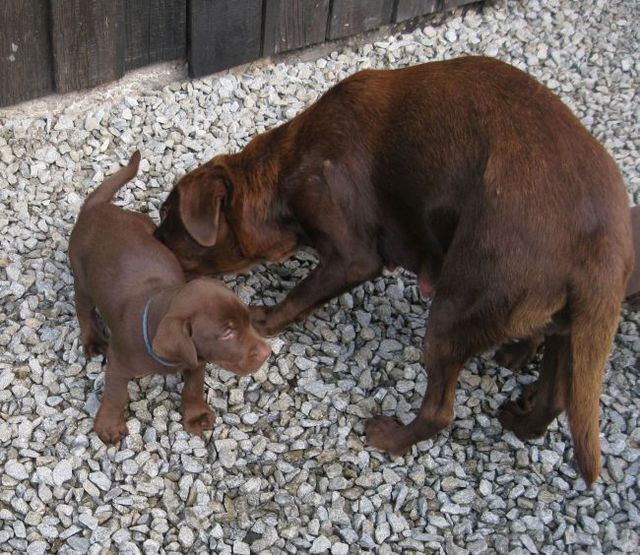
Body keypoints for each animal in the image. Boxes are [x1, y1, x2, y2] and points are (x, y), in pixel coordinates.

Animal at [67, 151, 270, 444]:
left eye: (247, 321)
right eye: (227, 332)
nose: (267, 353)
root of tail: (97, 207)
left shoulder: (197, 357)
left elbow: (193, 387)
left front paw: (195, 416)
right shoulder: (118, 362)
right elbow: (115, 392)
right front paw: (108, 425)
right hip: (81, 275)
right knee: (83, 308)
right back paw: (92, 339)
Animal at [155, 56, 636, 486]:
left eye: (167, 218)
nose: (152, 242)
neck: (287, 165)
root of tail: (605, 249)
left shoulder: (352, 254)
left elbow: (299, 296)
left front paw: (264, 318)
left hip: (461, 301)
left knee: (440, 409)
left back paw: (391, 438)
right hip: (562, 324)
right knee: (556, 392)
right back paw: (520, 404)